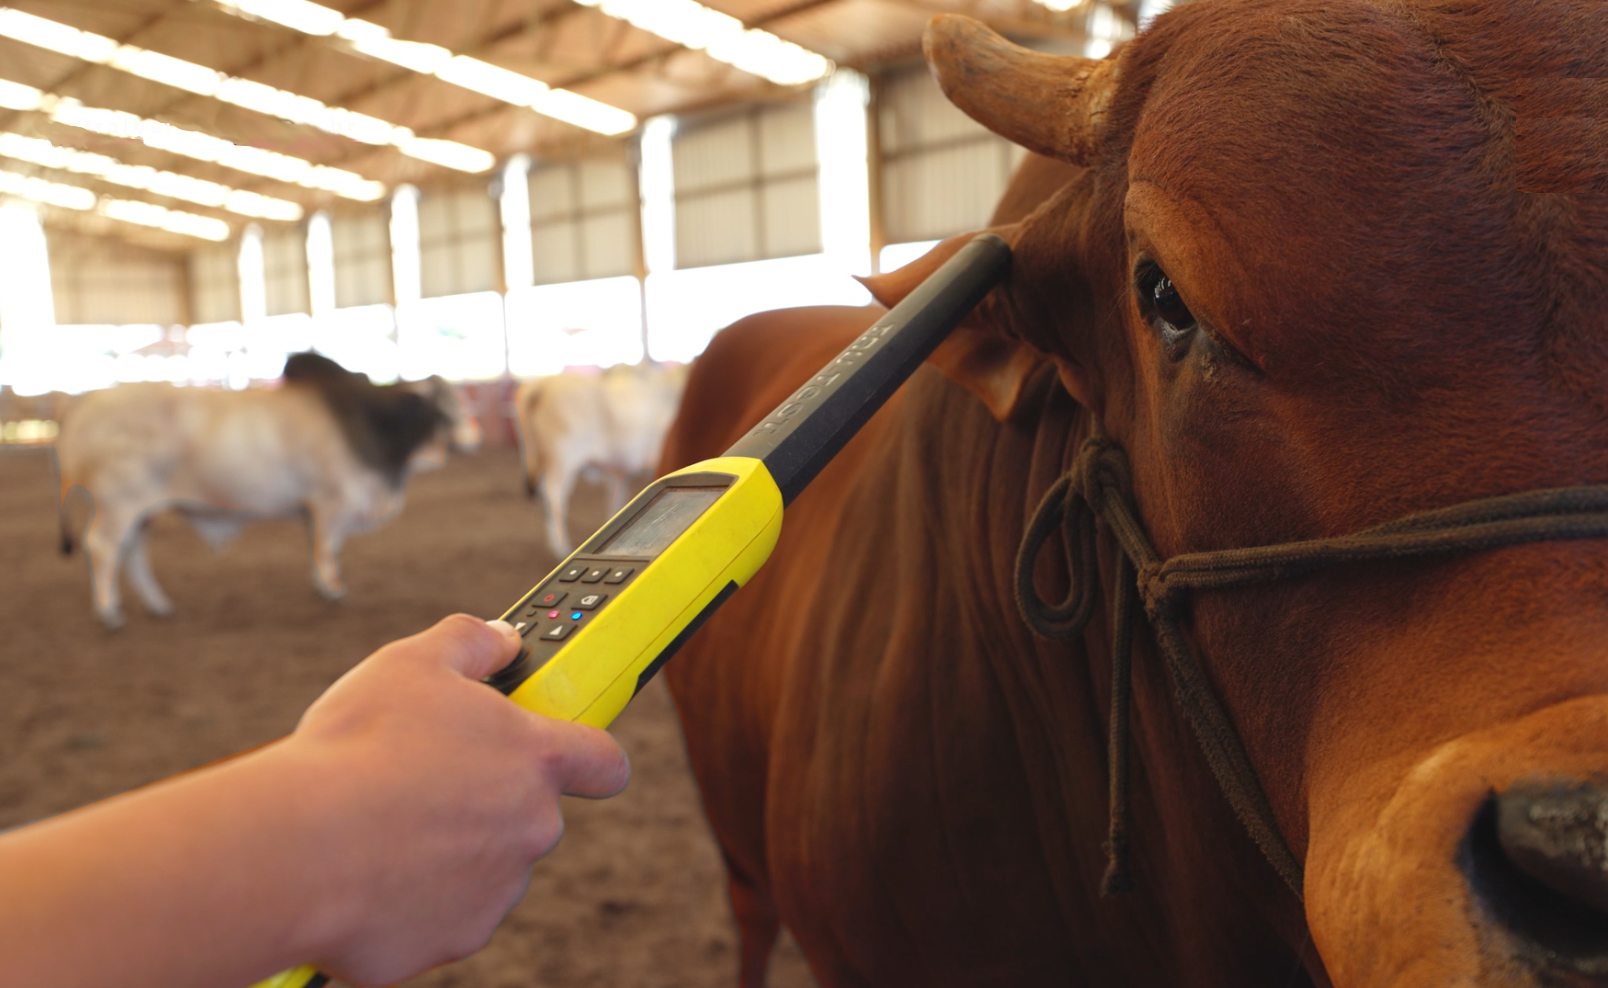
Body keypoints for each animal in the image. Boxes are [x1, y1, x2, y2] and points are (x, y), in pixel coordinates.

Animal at [62, 354, 475, 627]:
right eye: (448, 406)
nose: (475, 440)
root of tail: (85, 407)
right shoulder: (331, 502)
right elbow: (328, 547)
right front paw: (335, 591)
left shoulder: (313, 510)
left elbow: (319, 547)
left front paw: (321, 587)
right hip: (120, 502)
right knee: (103, 547)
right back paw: (109, 613)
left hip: (140, 510)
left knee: (131, 552)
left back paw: (157, 605)